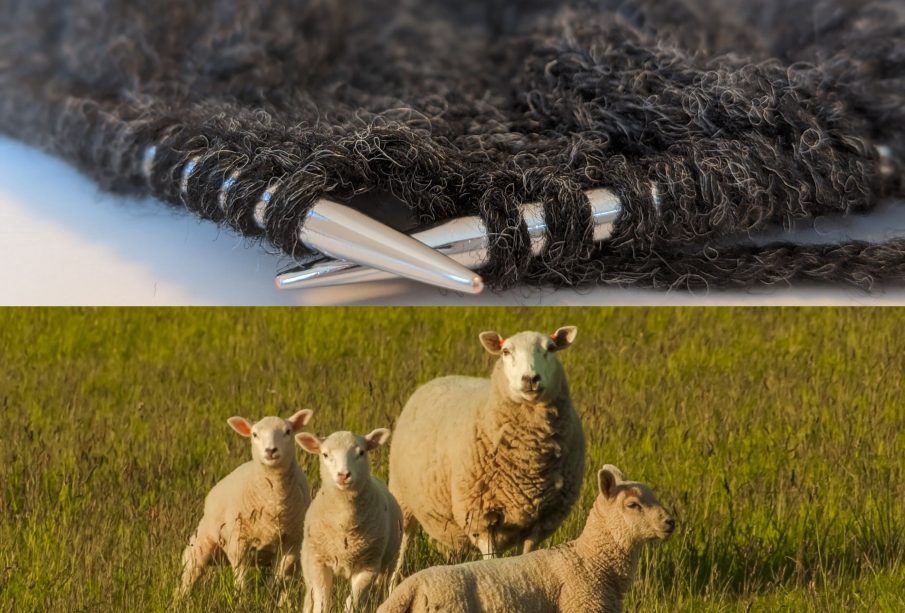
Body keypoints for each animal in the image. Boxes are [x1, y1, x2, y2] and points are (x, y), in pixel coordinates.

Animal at [176, 409, 313, 599]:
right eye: (254, 434)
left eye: (288, 431)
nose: (270, 450)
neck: (274, 501)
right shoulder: (238, 542)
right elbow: (241, 578)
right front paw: (242, 599)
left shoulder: (291, 544)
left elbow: (278, 579)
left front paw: (270, 596)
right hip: (199, 546)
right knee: (188, 578)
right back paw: (179, 601)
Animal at [296, 428, 403, 613]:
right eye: (325, 454)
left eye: (361, 452)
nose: (343, 475)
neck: (344, 522)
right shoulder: (319, 563)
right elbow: (322, 601)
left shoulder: (368, 566)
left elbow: (351, 602)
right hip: (308, 564)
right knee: (310, 596)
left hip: (390, 562)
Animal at [388, 326, 585, 586]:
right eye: (506, 352)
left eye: (551, 348)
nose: (530, 379)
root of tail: (441, 377)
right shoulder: (481, 518)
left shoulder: (539, 522)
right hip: (403, 499)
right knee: (400, 551)